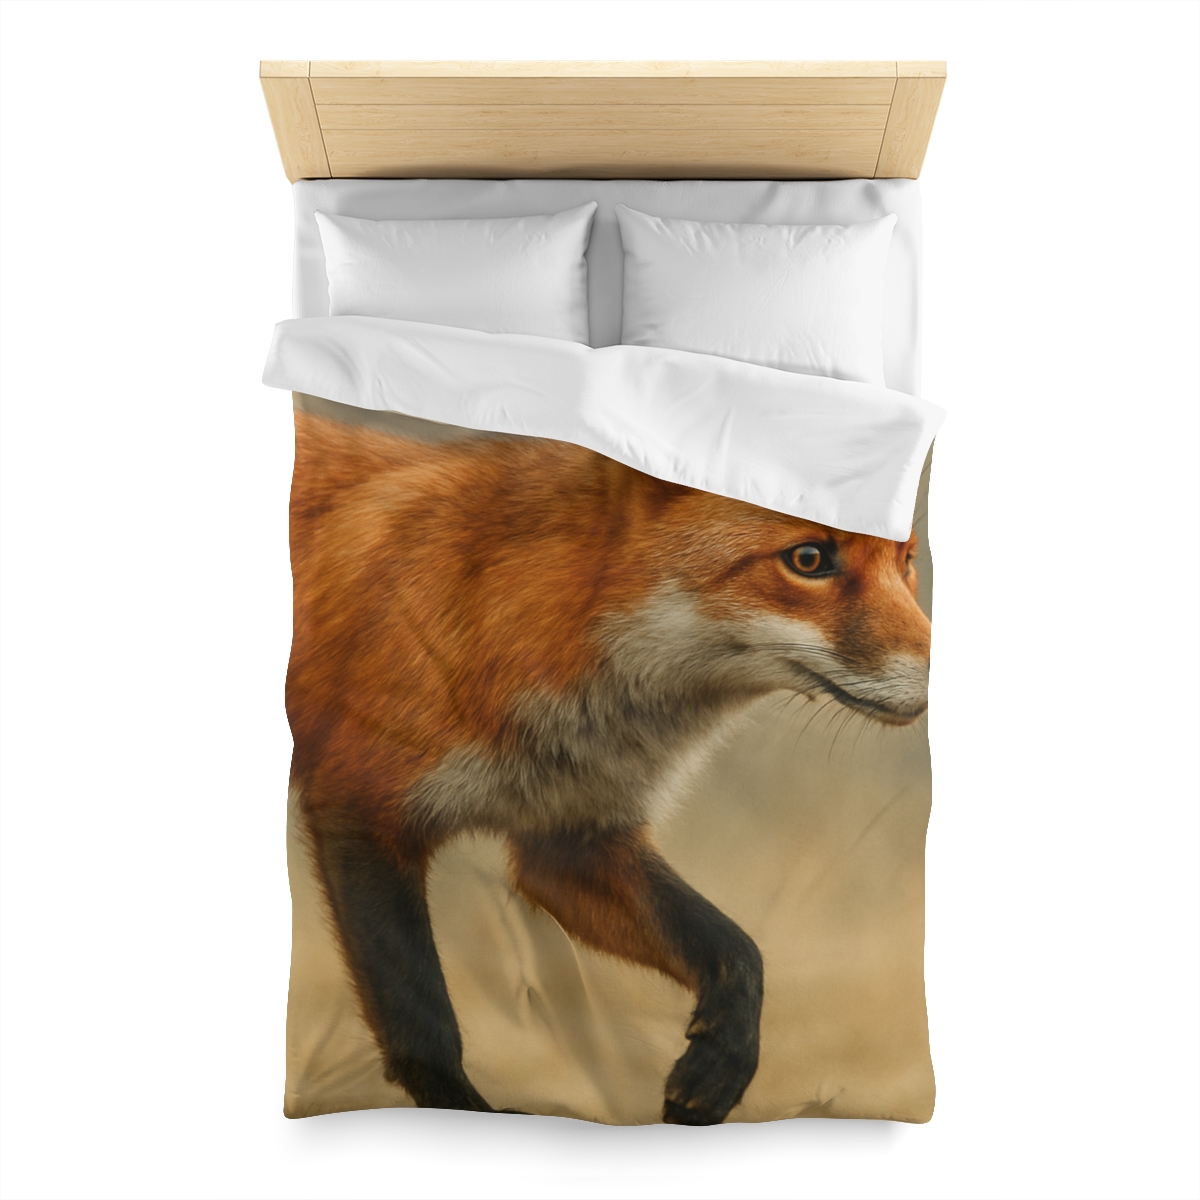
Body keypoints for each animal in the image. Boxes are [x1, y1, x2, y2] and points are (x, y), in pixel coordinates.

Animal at [286, 408, 931, 1126]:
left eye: (907, 560)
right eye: (809, 559)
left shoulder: (571, 839)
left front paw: (719, 1066)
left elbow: (736, 948)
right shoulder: (360, 810)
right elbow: (423, 1025)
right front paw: (464, 1112)